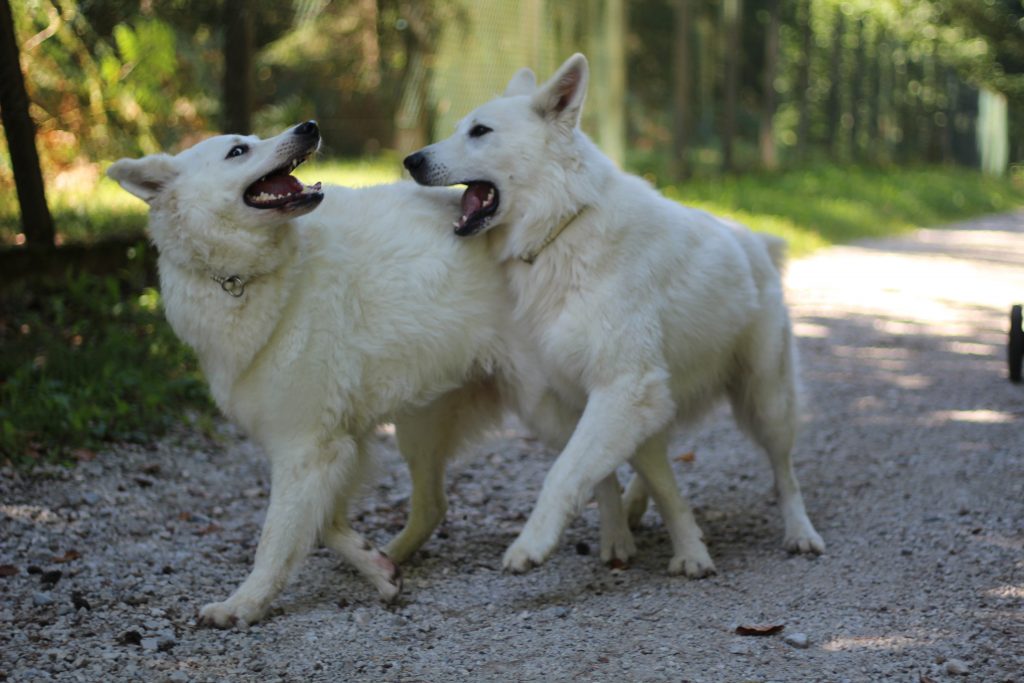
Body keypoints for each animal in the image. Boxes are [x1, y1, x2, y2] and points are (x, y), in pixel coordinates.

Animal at [404, 54, 825, 576]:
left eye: (480, 131)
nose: (410, 160)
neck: (563, 228)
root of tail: (754, 239)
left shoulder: (623, 388)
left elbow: (566, 473)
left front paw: (533, 544)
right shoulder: (578, 396)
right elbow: (604, 476)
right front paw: (623, 538)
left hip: (767, 399)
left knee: (785, 473)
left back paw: (800, 532)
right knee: (654, 461)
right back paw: (641, 512)